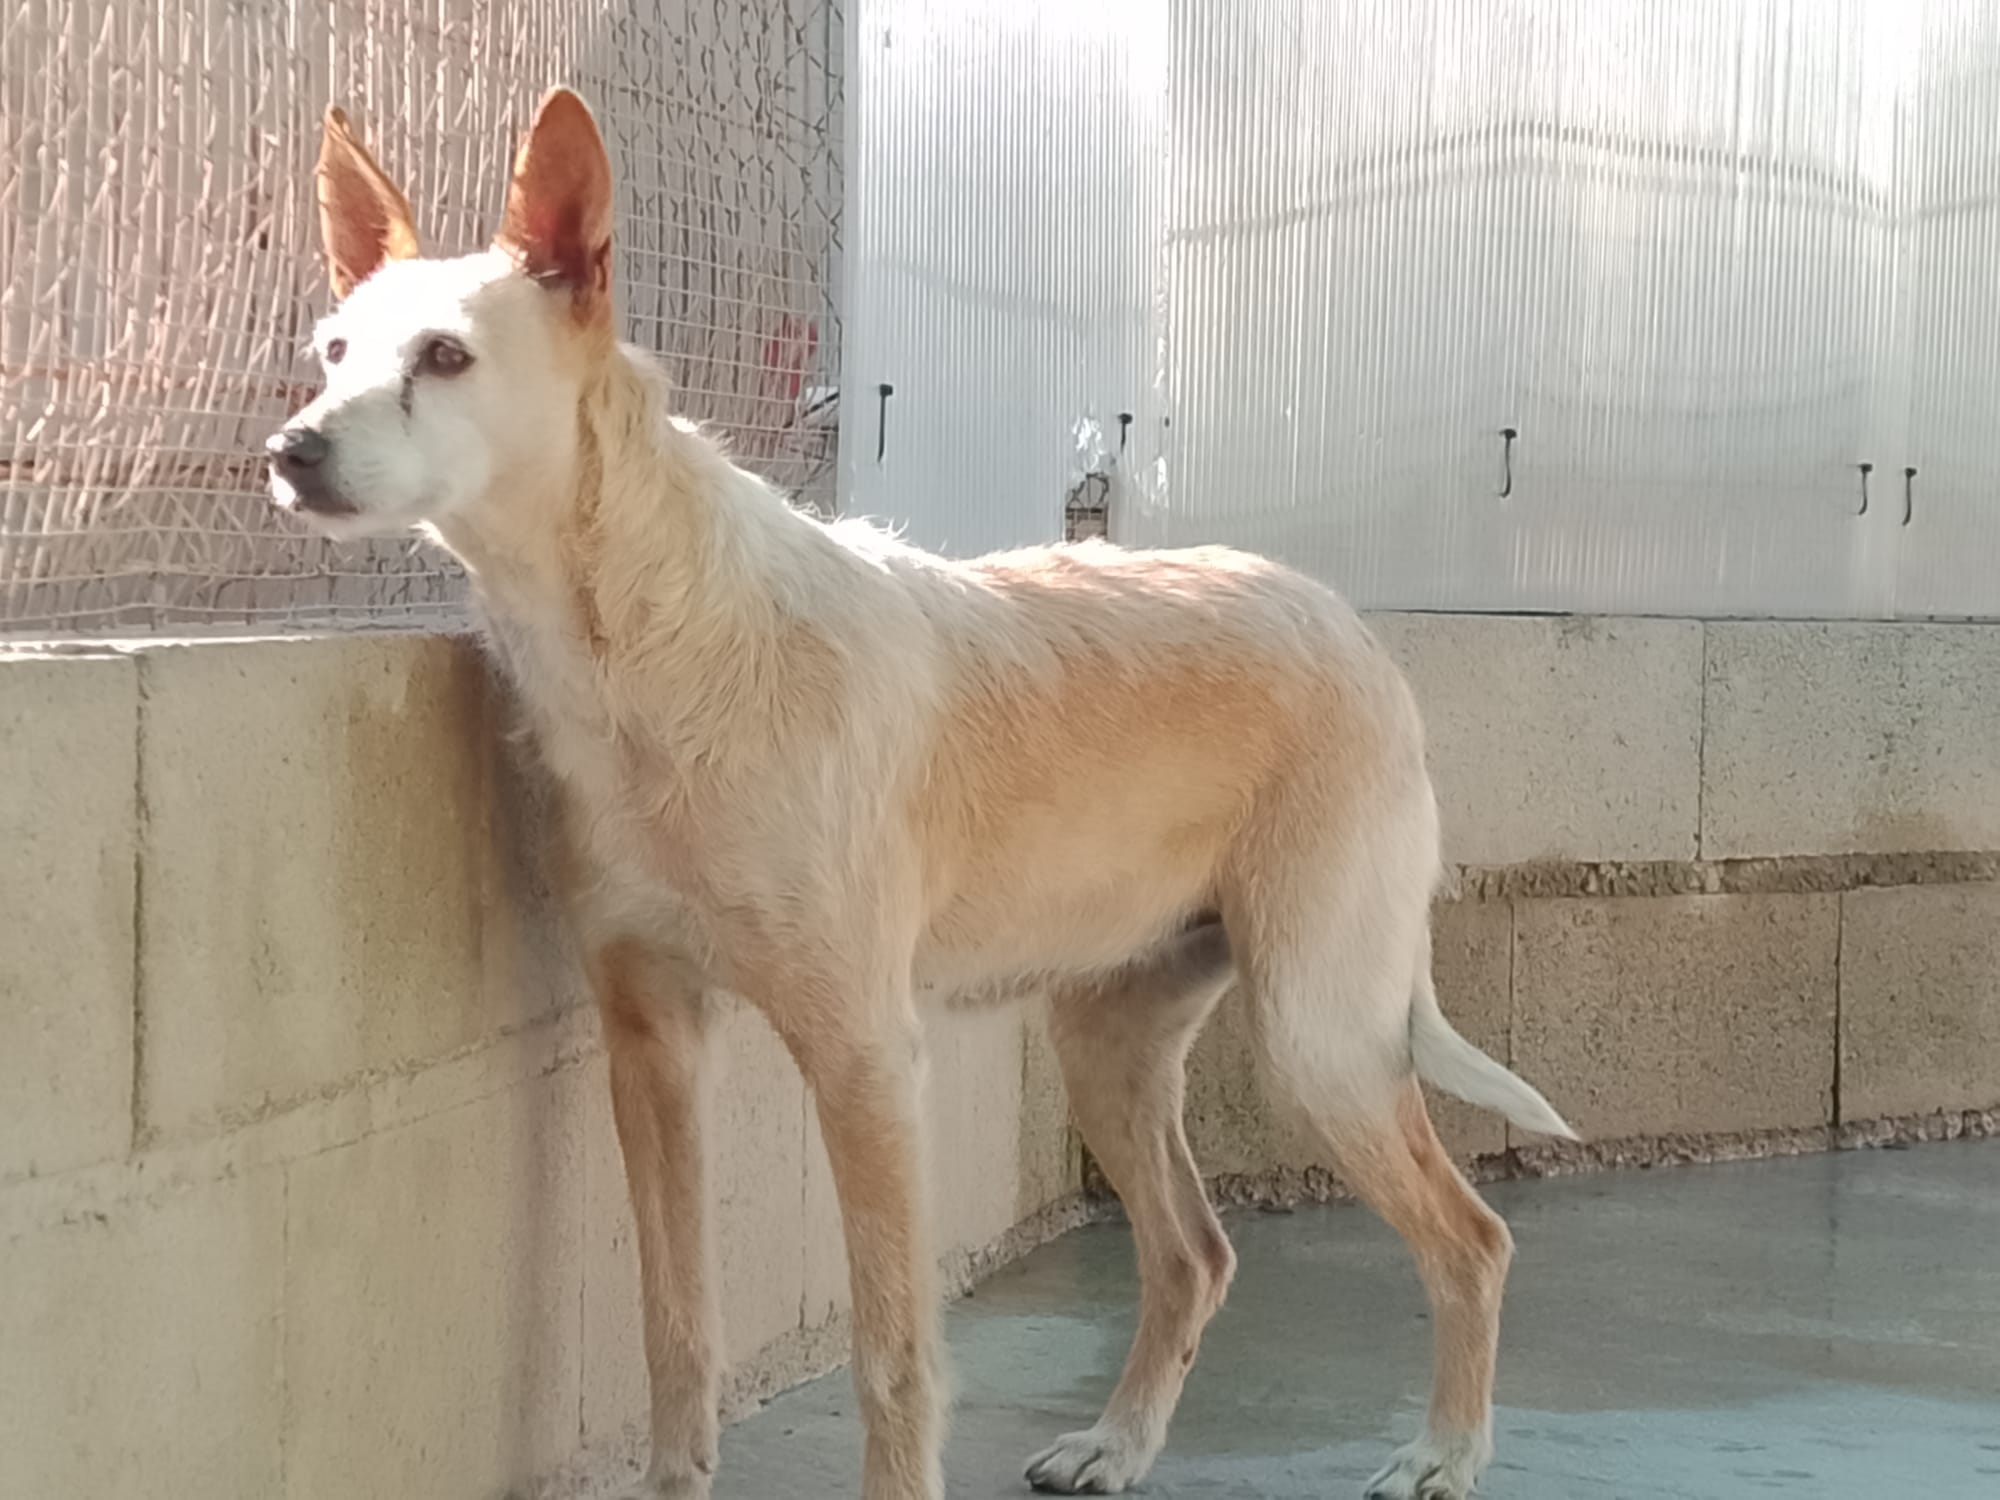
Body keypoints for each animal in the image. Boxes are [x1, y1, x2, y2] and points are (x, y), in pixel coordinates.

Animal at [268, 88, 1576, 1500]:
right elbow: (675, 1330)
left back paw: (1442, 1452)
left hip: (1318, 1036)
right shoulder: (649, 1043)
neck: (652, 640)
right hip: (1111, 1041)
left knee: (1470, 1240)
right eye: (331, 351)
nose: (288, 450)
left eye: (445, 356)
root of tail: (1343, 622)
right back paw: (1118, 1445)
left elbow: (892, 1356)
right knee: (1193, 1253)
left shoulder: (862, 1054)